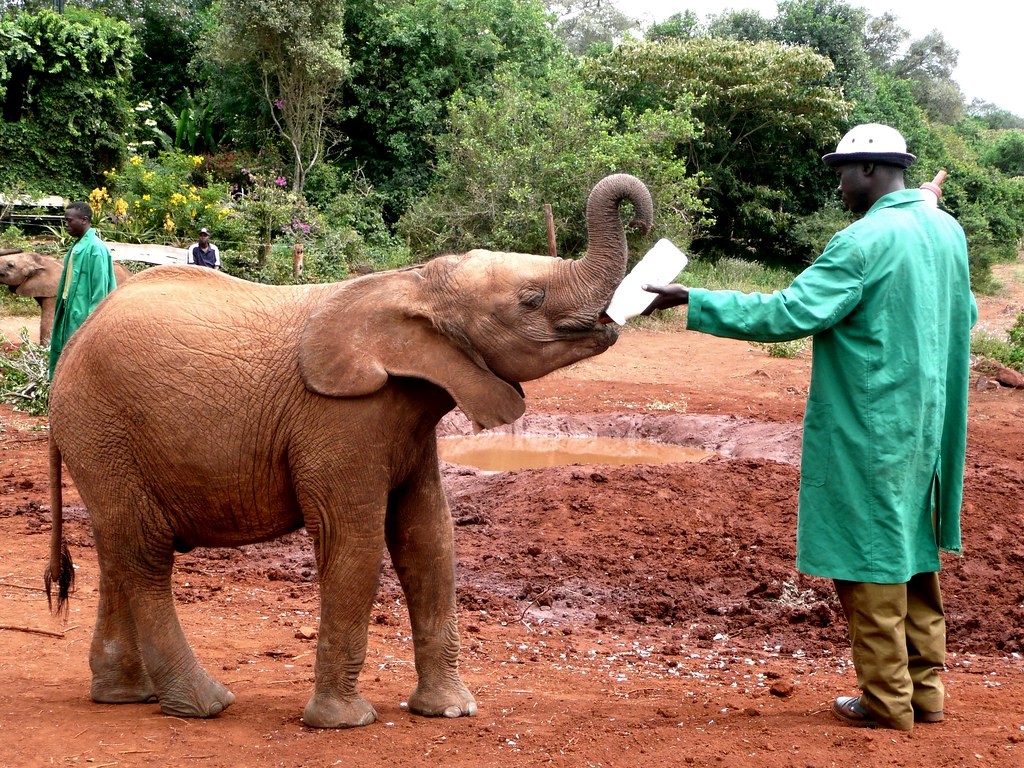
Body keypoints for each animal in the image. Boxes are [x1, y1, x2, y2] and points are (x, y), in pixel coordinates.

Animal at [45, 173, 654, 729]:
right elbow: (354, 539)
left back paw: (126, 695)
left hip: (103, 438)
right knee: (146, 552)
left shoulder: (411, 421)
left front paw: (451, 711)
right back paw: (205, 705)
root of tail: (69, 348)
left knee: (119, 546)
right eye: (531, 300)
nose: (644, 218)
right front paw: (344, 722)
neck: (416, 285)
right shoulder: (342, 417)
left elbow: (429, 537)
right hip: (102, 426)